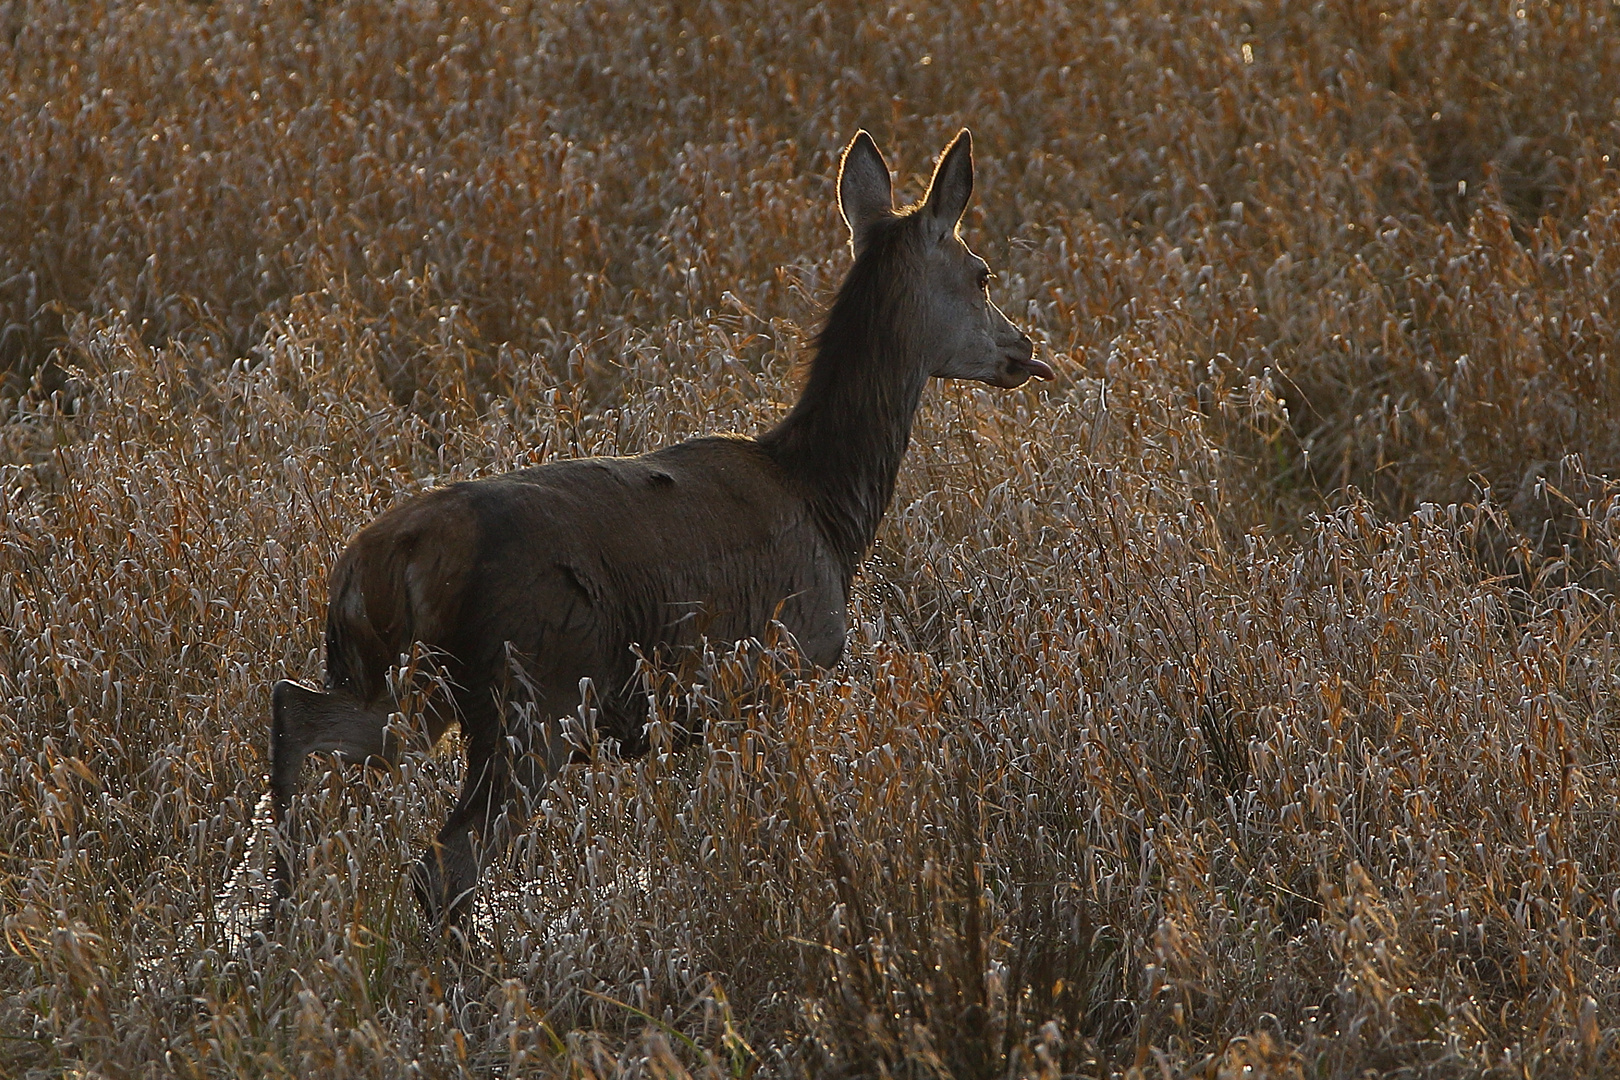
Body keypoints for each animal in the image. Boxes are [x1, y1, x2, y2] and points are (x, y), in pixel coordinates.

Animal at [265, 128, 1049, 932]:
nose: (1024, 348)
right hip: (531, 695)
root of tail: (384, 559)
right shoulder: (774, 671)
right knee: (442, 867)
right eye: (982, 274)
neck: (827, 506)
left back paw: (276, 923)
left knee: (297, 714)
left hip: (400, 682)